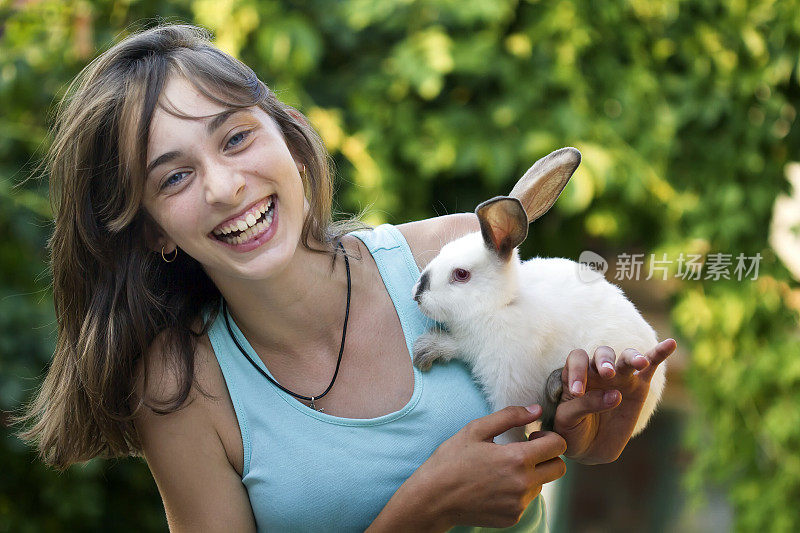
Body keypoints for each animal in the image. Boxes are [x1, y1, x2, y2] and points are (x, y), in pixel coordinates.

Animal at [410, 148, 664, 442]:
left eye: (461, 274)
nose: (417, 294)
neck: (501, 304)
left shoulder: (508, 383)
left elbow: (508, 428)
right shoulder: (470, 345)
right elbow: (456, 345)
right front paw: (425, 350)